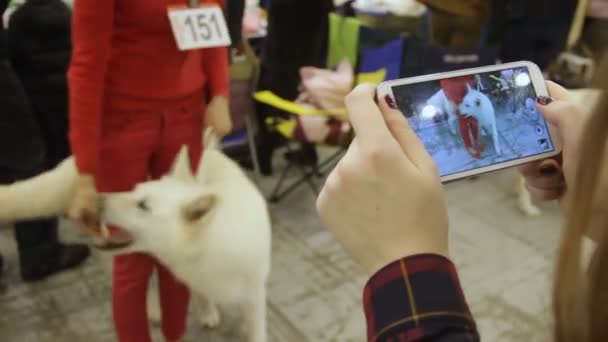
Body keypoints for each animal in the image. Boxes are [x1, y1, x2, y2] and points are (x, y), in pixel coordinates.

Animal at [0, 132, 270, 340]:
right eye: (134, 189)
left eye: (143, 205)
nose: (97, 200)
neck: (210, 242)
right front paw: (206, 310)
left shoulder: (254, 294)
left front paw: (214, 312)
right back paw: (153, 310)